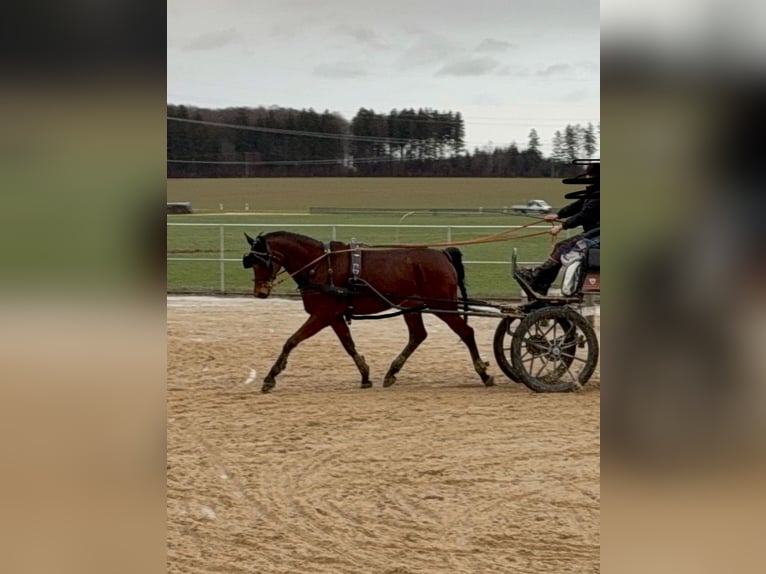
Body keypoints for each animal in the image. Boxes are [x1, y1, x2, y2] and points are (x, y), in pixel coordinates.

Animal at [242, 232, 498, 394]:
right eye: (251, 261)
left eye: (261, 261)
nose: (259, 292)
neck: (322, 265)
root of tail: (442, 254)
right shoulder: (334, 317)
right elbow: (349, 345)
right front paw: (365, 375)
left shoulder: (321, 315)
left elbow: (291, 341)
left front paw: (270, 377)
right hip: (412, 307)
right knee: (418, 335)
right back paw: (392, 371)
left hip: (444, 306)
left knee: (466, 332)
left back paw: (483, 373)